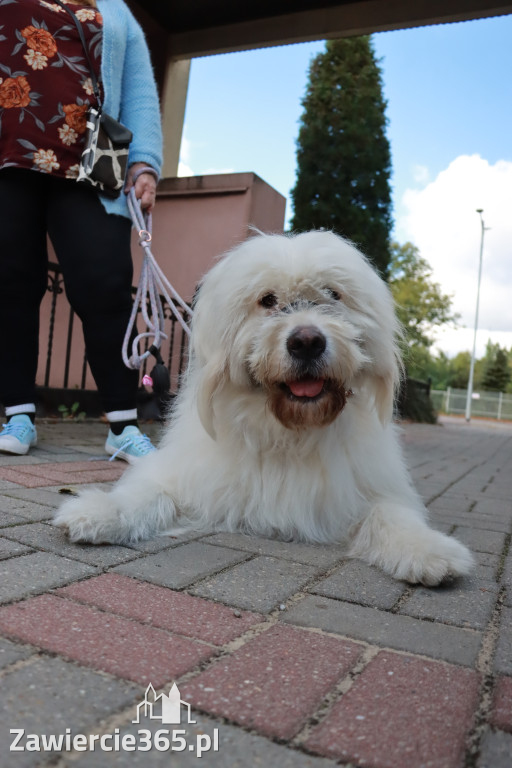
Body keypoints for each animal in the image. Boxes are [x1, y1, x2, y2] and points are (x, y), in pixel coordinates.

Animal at [54, 231, 474, 584]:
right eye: (268, 300)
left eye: (333, 294)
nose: (307, 341)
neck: (288, 431)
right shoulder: (189, 476)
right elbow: (147, 493)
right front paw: (99, 512)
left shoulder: (371, 489)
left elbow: (392, 514)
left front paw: (429, 550)